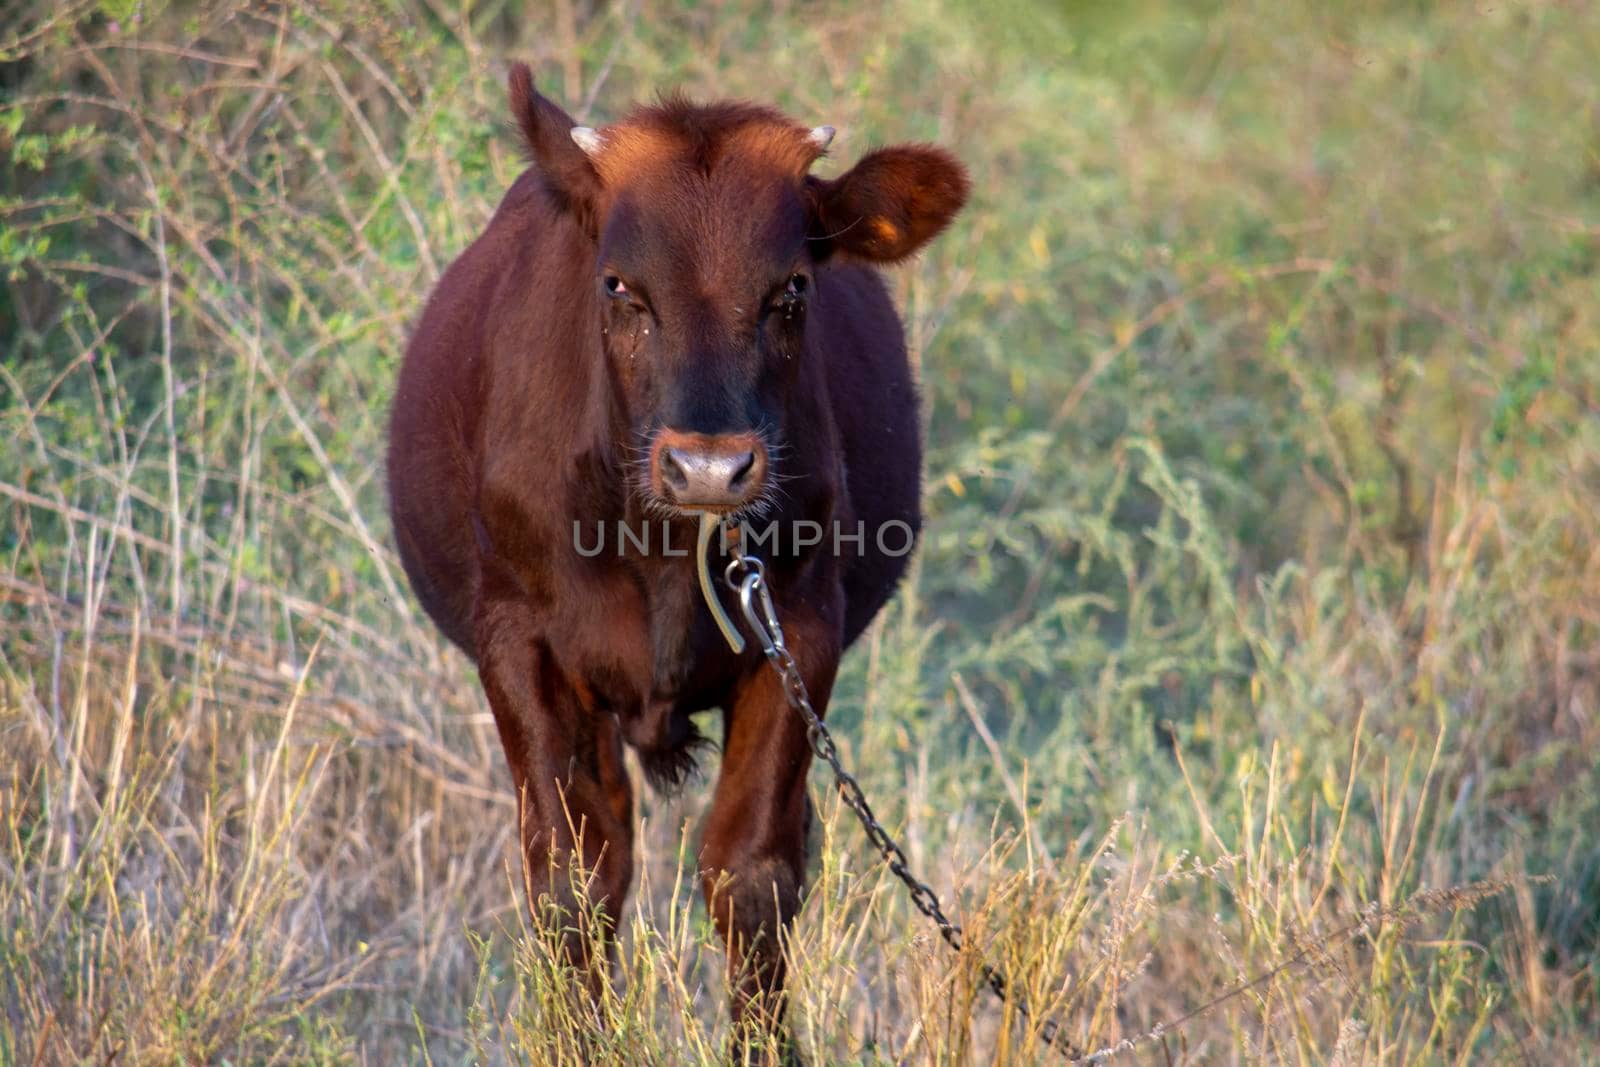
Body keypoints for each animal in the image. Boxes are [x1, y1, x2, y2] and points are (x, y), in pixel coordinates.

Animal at [387, 62, 960, 1055]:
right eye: (621, 286)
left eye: (791, 289)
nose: (709, 467)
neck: (659, 550)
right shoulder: (518, 642)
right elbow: (573, 880)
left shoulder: (800, 631)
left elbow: (752, 872)